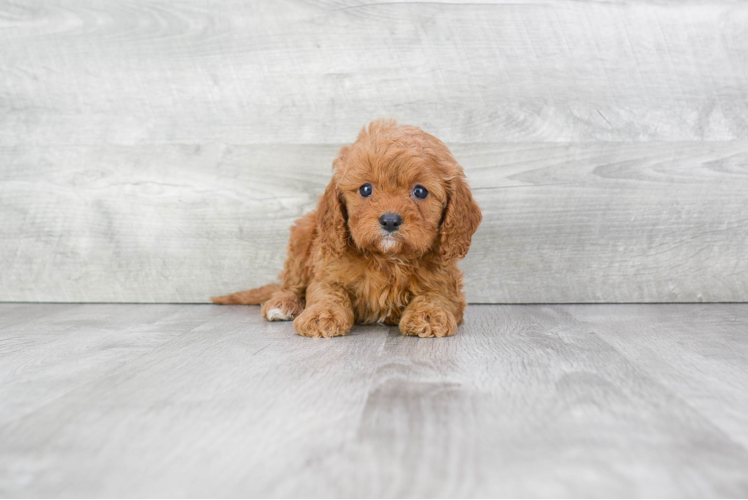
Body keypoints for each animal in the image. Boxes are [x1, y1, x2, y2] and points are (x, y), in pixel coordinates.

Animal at [212, 119, 480, 338]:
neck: (387, 258)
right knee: (291, 284)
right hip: (303, 235)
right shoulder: (326, 270)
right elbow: (327, 293)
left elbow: (436, 296)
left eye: (420, 191)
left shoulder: (446, 283)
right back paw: (282, 304)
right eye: (366, 189)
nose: (390, 221)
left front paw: (428, 316)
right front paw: (321, 315)